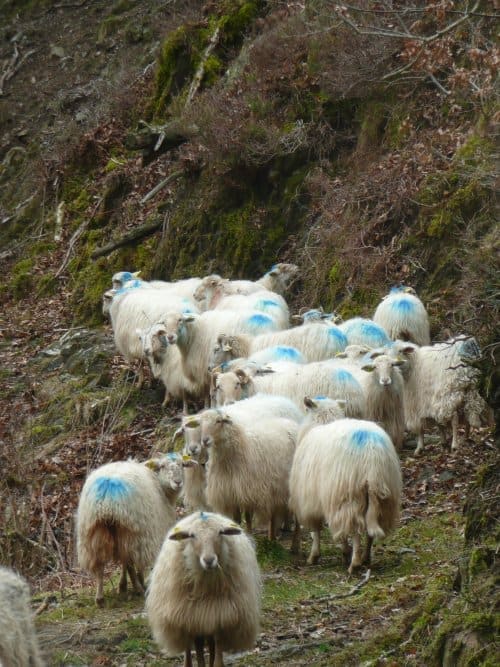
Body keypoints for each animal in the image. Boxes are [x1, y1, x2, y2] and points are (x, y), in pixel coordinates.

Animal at [76, 454, 190, 606]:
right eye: (162, 466)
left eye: (182, 464)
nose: (178, 482)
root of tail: (106, 496)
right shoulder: (147, 531)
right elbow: (135, 564)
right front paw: (137, 581)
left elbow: (123, 563)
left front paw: (122, 586)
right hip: (132, 530)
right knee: (130, 562)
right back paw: (138, 588)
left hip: (94, 532)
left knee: (100, 565)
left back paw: (100, 598)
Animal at [146, 511, 261, 667]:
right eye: (192, 535)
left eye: (220, 532)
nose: (209, 560)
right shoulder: (194, 617)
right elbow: (198, 649)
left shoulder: (221, 614)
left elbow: (217, 646)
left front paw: (216, 662)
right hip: (183, 614)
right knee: (188, 647)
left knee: (211, 645)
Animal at [197, 408, 298, 540]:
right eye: (201, 424)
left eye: (218, 421)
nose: (205, 440)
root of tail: (290, 422)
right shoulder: (230, 493)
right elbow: (236, 519)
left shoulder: (248, 492)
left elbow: (248, 517)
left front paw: (249, 535)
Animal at [289, 418, 402, 571]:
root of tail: (371, 455)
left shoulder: (313, 500)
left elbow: (317, 530)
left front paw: (315, 556)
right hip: (384, 499)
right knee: (369, 531)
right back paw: (366, 558)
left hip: (348, 497)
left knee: (355, 530)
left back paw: (354, 563)